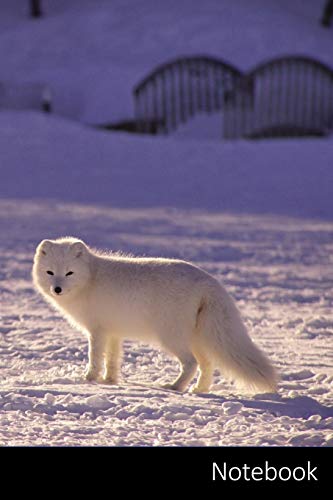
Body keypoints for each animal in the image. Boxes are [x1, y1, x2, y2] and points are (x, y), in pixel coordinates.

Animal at [32, 238, 276, 394]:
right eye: (50, 272)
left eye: (69, 273)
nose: (57, 289)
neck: (91, 279)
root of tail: (209, 282)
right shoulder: (114, 332)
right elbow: (112, 359)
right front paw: (110, 381)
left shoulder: (97, 331)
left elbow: (95, 357)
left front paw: (89, 379)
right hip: (197, 338)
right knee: (207, 364)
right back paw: (199, 390)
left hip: (171, 337)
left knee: (191, 363)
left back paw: (175, 387)